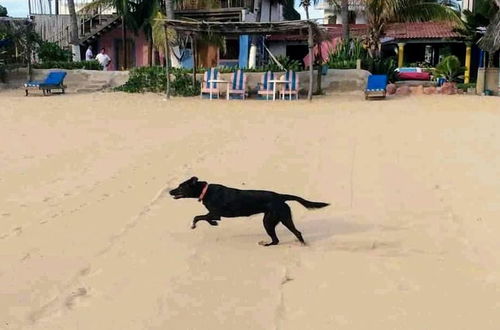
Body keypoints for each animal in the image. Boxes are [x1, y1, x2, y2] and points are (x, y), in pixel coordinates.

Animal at [170, 178, 330, 245]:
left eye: (180, 187)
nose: (170, 191)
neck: (205, 191)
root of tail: (280, 196)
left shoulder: (215, 212)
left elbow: (198, 217)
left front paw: (197, 225)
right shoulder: (215, 214)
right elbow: (205, 218)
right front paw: (214, 223)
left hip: (271, 221)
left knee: (286, 236)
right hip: (277, 219)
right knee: (286, 236)